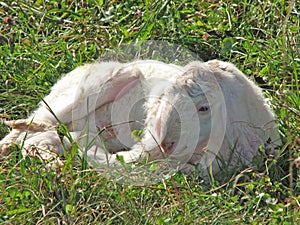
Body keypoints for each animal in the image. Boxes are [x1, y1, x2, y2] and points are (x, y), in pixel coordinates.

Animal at [0, 59, 282, 178]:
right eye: (164, 100)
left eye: (204, 108)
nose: (165, 143)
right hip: (85, 91)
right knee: (36, 124)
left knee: (37, 140)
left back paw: (55, 160)